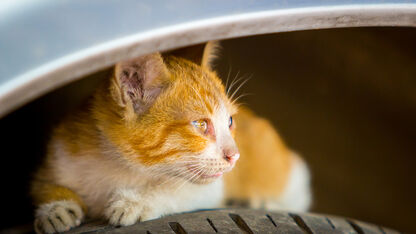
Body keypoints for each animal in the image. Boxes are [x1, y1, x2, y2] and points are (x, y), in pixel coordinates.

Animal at [31, 42, 308, 234]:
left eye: (230, 121)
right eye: (200, 124)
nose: (235, 155)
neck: (121, 167)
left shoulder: (212, 187)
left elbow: (179, 191)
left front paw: (137, 202)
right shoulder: (60, 150)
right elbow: (40, 183)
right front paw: (56, 208)